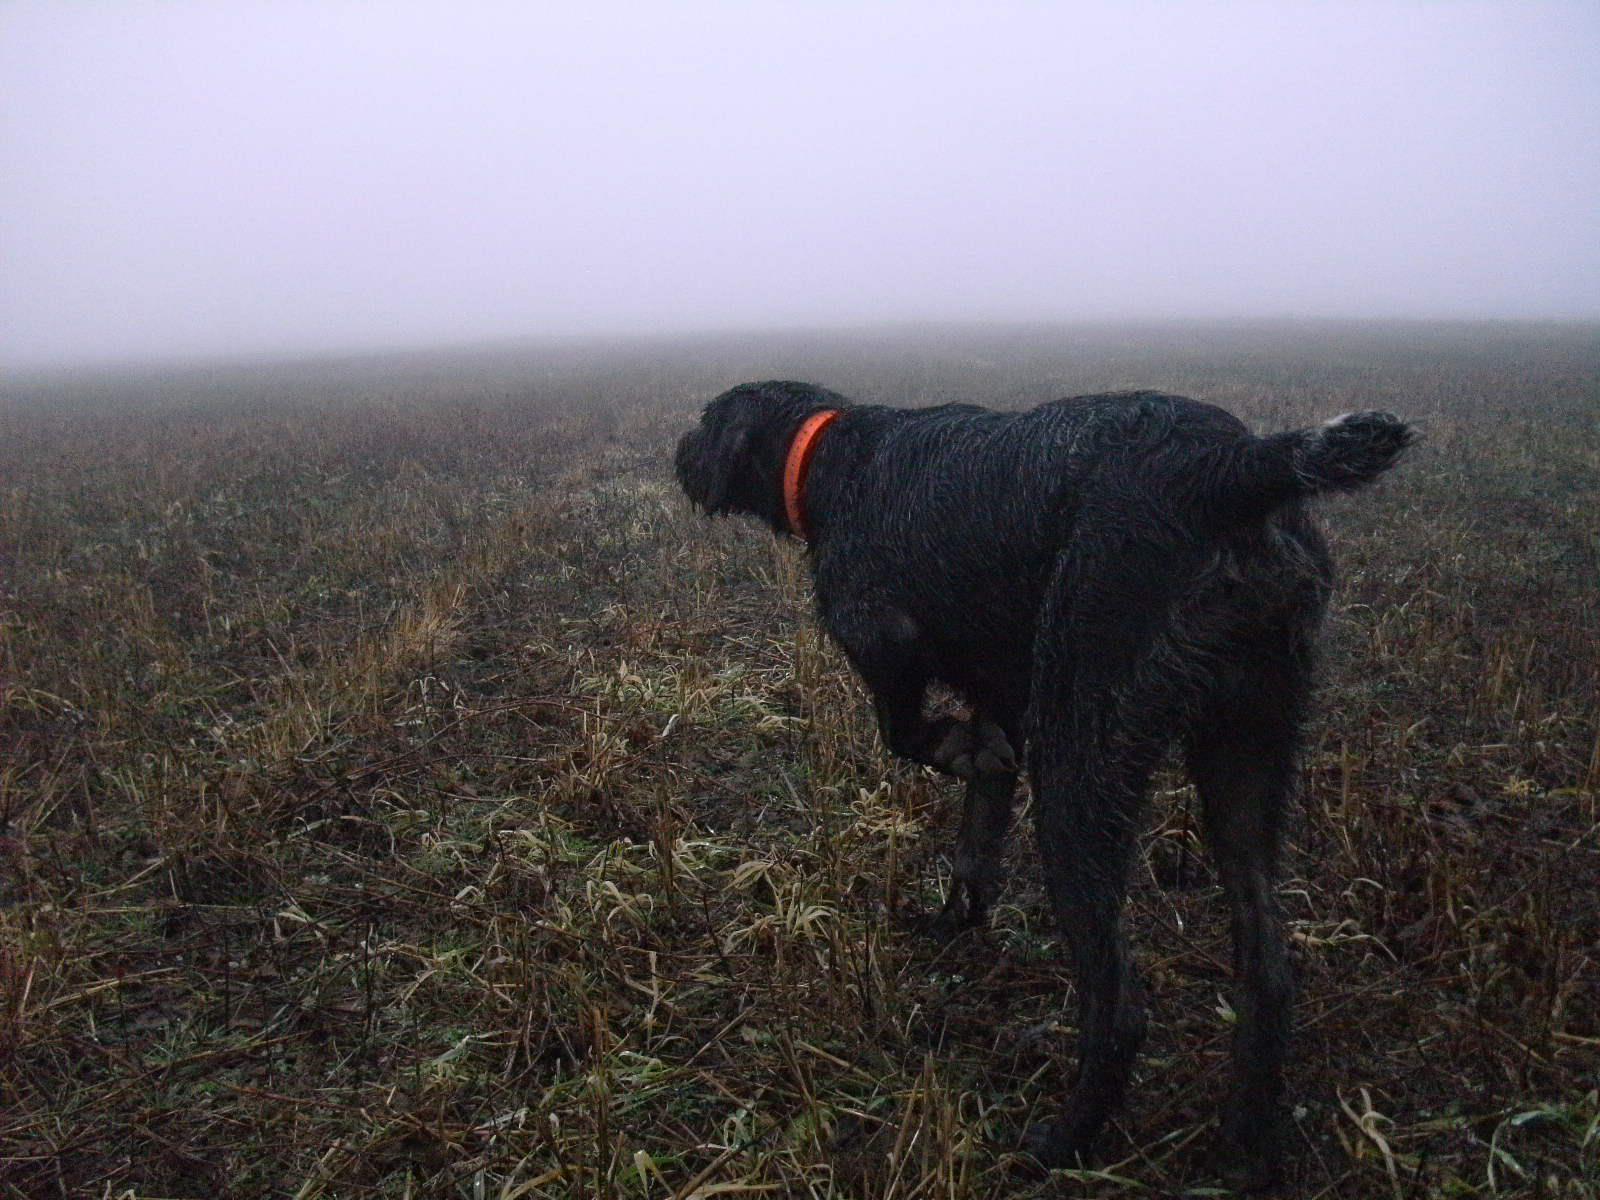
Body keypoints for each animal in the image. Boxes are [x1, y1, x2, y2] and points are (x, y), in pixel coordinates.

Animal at [675, 380, 1413, 1187]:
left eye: (706, 420)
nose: (678, 453)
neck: (833, 454)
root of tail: (1231, 467)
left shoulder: (881, 636)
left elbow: (905, 734)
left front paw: (953, 754)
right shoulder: (1000, 697)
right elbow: (977, 831)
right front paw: (956, 916)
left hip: (1080, 762)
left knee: (1119, 1008)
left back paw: (1065, 1141)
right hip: (1245, 759)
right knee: (1268, 975)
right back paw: (1243, 1147)